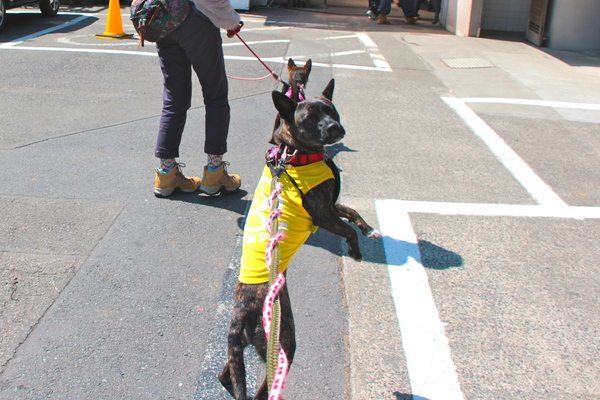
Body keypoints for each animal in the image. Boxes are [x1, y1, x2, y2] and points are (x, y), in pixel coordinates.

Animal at [219, 79, 380, 400]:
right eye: (309, 119)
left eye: (332, 111)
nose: (334, 128)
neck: (294, 153)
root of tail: (240, 313)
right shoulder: (322, 214)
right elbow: (347, 230)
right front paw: (356, 251)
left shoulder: (329, 205)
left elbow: (351, 211)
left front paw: (368, 228)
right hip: (283, 340)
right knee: (263, 388)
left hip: (241, 348)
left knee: (225, 374)